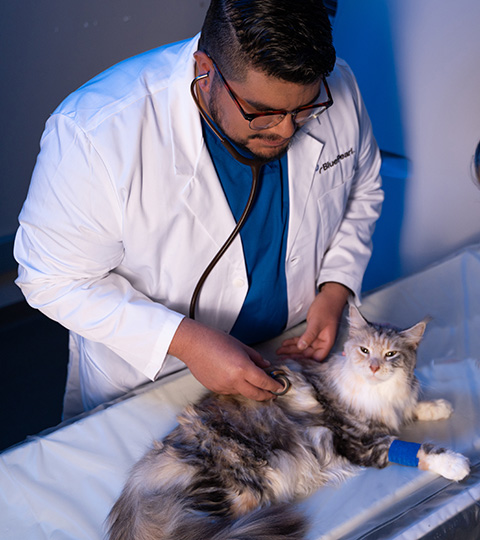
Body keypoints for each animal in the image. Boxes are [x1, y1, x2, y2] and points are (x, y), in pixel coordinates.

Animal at [108, 306, 468, 536]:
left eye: (391, 354)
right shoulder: (359, 441)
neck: (379, 395)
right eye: (365, 350)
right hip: (243, 485)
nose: (375, 367)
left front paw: (439, 407)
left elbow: (413, 407)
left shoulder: (394, 409)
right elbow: (417, 448)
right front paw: (455, 463)